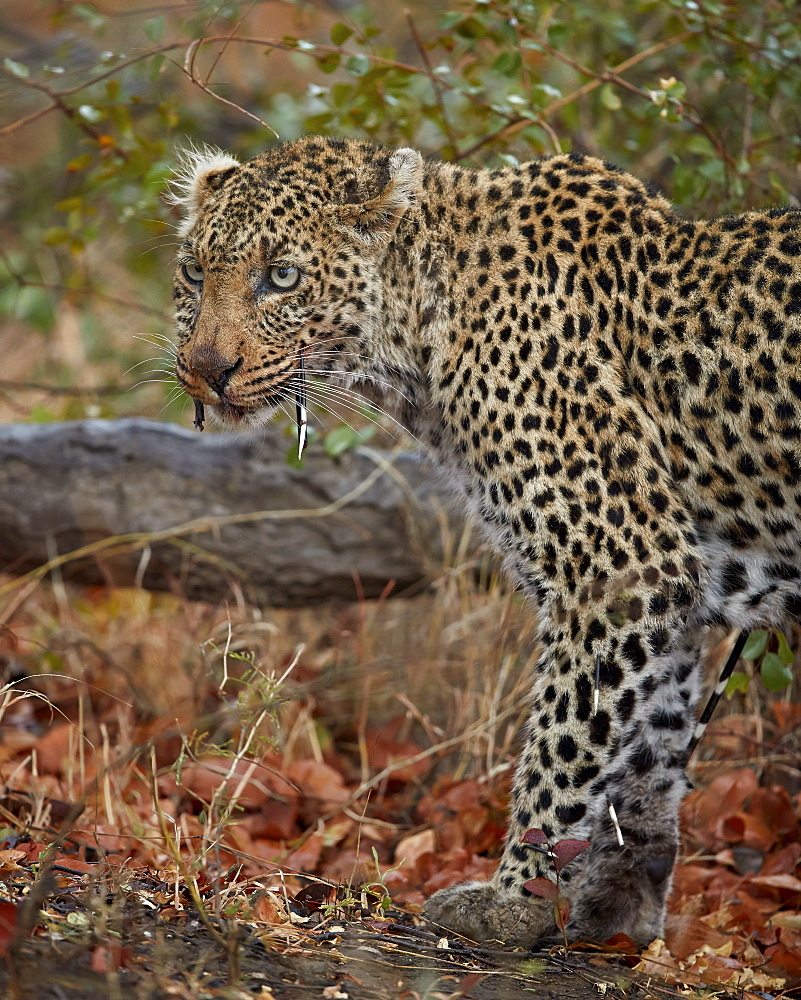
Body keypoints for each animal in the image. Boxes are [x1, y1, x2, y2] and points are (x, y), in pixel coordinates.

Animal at [169, 137, 800, 948]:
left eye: (281, 277)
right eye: (194, 272)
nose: (205, 370)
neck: (419, 344)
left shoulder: (618, 565)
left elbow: (567, 740)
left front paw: (511, 903)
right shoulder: (671, 590)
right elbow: (646, 754)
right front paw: (619, 911)